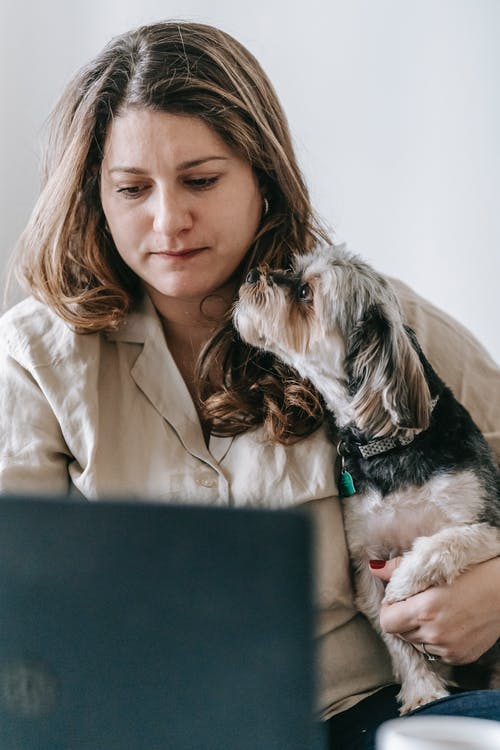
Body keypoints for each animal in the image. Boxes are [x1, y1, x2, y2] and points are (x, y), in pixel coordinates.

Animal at [234, 244, 500, 712]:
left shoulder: (489, 524)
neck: (392, 446)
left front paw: (406, 580)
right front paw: (422, 691)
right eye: (294, 269)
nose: (250, 276)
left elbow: (446, 542)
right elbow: (395, 635)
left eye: (305, 292)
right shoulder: (365, 561)